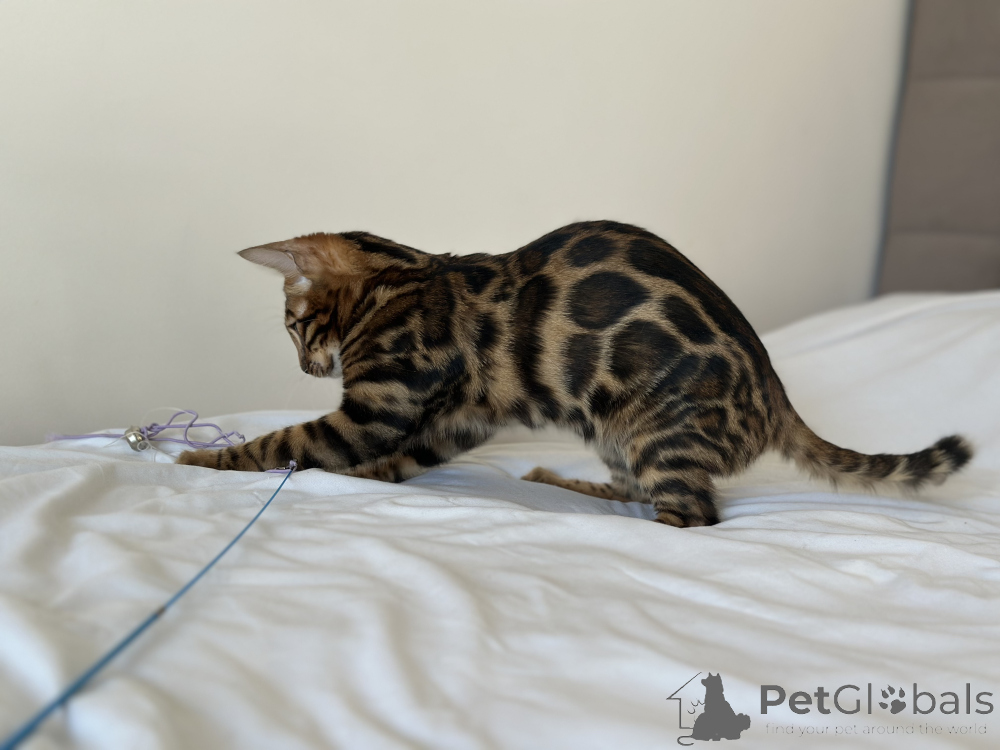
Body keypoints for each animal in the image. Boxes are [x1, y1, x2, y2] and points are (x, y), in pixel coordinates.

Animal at [178, 221, 972, 527]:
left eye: (291, 327)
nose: (305, 364)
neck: (400, 277)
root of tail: (778, 397)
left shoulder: (380, 404)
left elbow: (287, 443)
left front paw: (200, 459)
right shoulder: (459, 418)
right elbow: (396, 460)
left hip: (655, 430)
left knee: (689, 515)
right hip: (613, 433)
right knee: (634, 492)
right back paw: (566, 486)